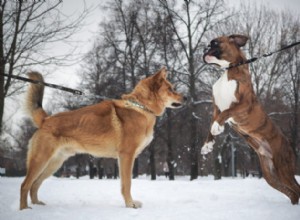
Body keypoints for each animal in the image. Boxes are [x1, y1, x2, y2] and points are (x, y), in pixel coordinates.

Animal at [19, 67, 184, 210]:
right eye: (170, 89)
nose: (186, 97)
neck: (141, 107)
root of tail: (45, 120)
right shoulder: (126, 156)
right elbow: (127, 184)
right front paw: (130, 204)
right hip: (41, 160)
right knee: (25, 185)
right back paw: (25, 209)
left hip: (54, 163)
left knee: (35, 184)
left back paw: (37, 205)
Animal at [202, 34, 300, 205]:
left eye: (214, 42)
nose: (204, 48)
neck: (231, 69)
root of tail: (289, 143)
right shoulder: (216, 109)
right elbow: (212, 124)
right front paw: (207, 144)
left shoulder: (243, 104)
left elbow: (226, 113)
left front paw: (217, 127)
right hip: (271, 175)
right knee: (292, 192)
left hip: (283, 169)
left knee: (296, 189)